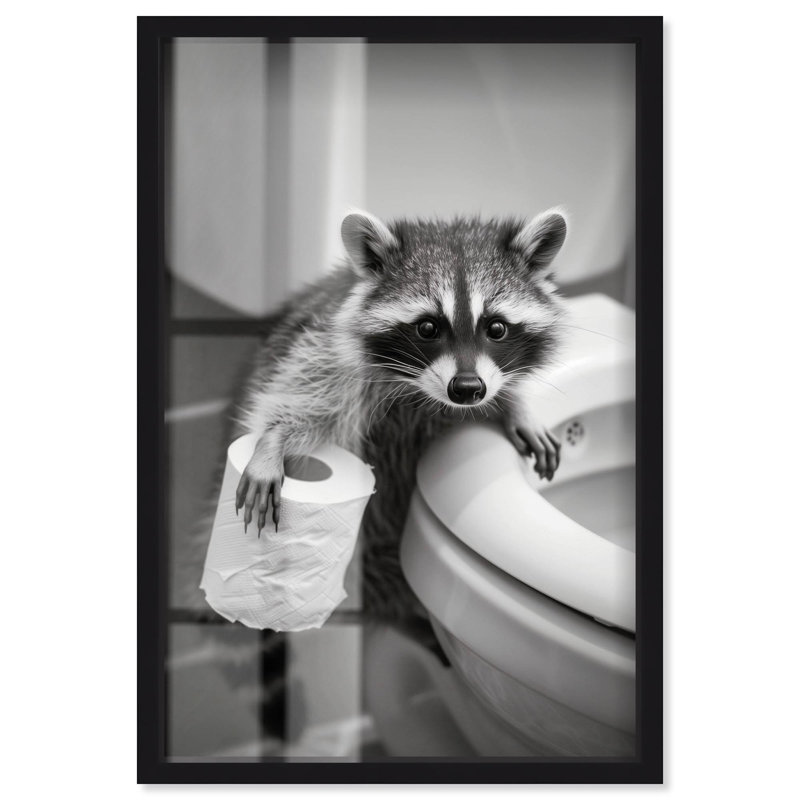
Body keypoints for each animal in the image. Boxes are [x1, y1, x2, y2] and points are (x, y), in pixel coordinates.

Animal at [234, 209, 568, 621]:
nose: (467, 388)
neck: (423, 393)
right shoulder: (333, 352)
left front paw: (514, 405)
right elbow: (310, 396)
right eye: (427, 327)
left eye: (496, 328)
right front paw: (274, 437)